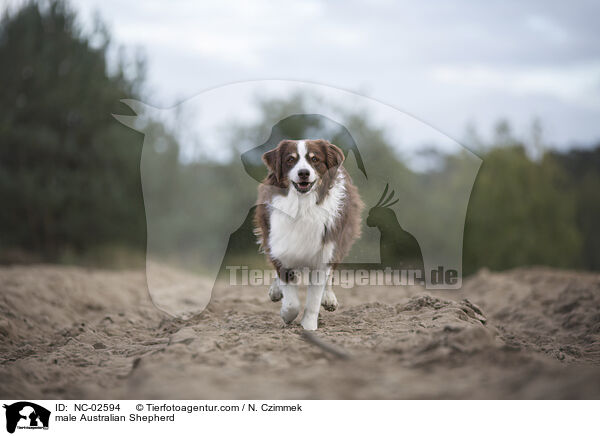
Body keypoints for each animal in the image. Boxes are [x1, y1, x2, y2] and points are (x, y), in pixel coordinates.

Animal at [254, 140, 364, 330]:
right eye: (290, 159)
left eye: (315, 159)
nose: (303, 173)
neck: (302, 204)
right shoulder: (281, 245)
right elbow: (291, 301)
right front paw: (286, 315)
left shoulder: (324, 251)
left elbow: (314, 299)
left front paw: (309, 327)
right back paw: (276, 291)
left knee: (331, 272)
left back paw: (328, 298)